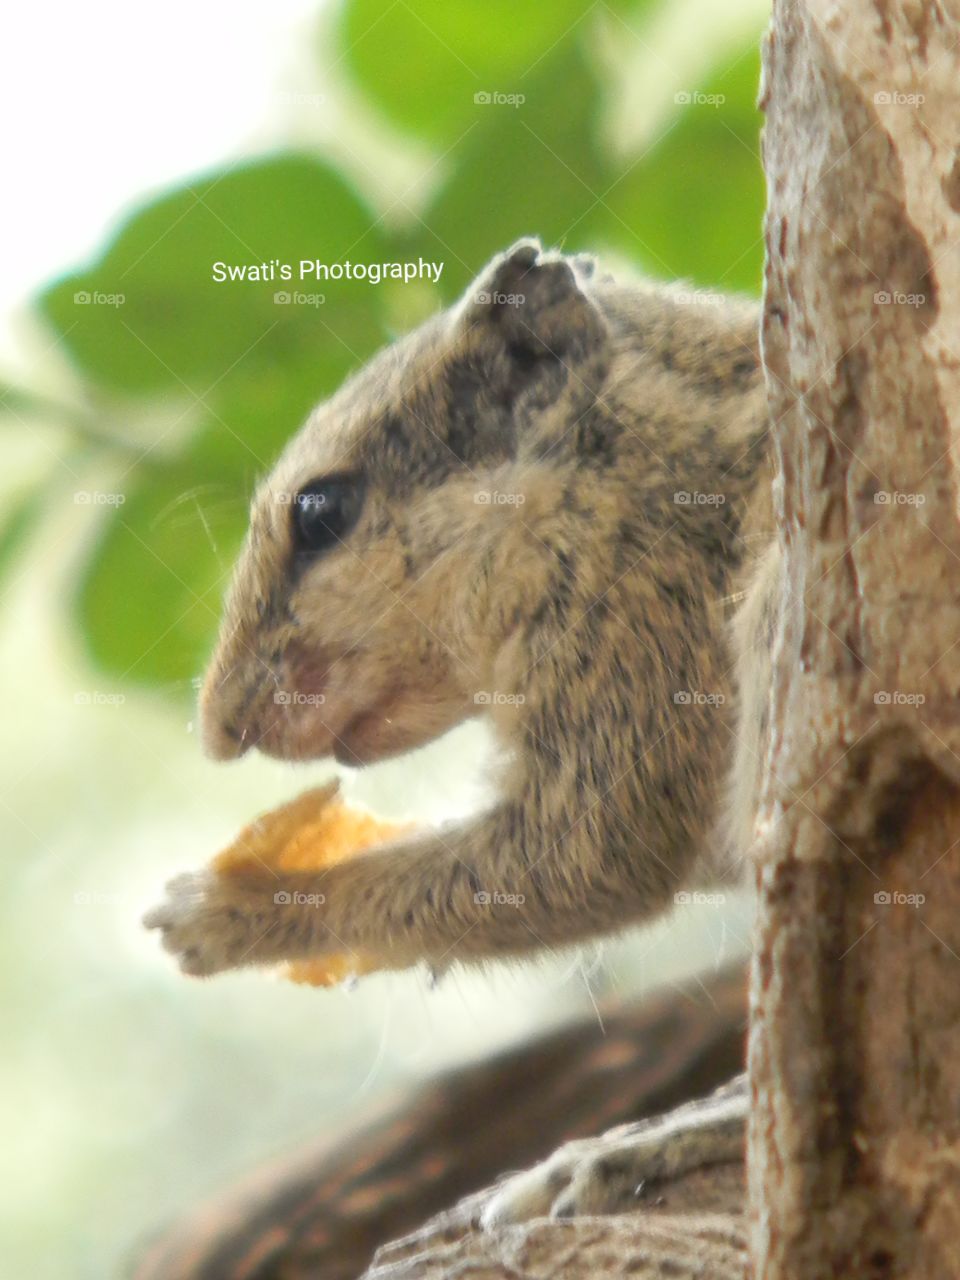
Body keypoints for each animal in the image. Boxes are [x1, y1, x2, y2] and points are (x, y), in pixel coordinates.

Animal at [144, 238, 773, 977]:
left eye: (321, 512)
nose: (220, 734)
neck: (599, 458)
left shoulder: (636, 601)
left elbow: (586, 854)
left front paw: (227, 911)